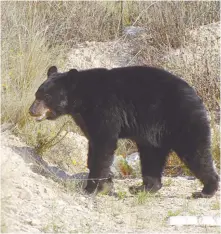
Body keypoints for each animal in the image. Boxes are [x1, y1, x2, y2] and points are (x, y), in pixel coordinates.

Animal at [29, 65, 219, 197]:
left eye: (46, 97)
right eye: (37, 94)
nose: (32, 110)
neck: (81, 99)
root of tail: (196, 94)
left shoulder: (105, 109)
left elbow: (103, 145)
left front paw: (92, 187)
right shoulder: (85, 118)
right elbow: (93, 145)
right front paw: (106, 182)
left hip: (181, 120)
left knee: (196, 152)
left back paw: (206, 190)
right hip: (155, 135)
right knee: (152, 157)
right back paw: (144, 187)